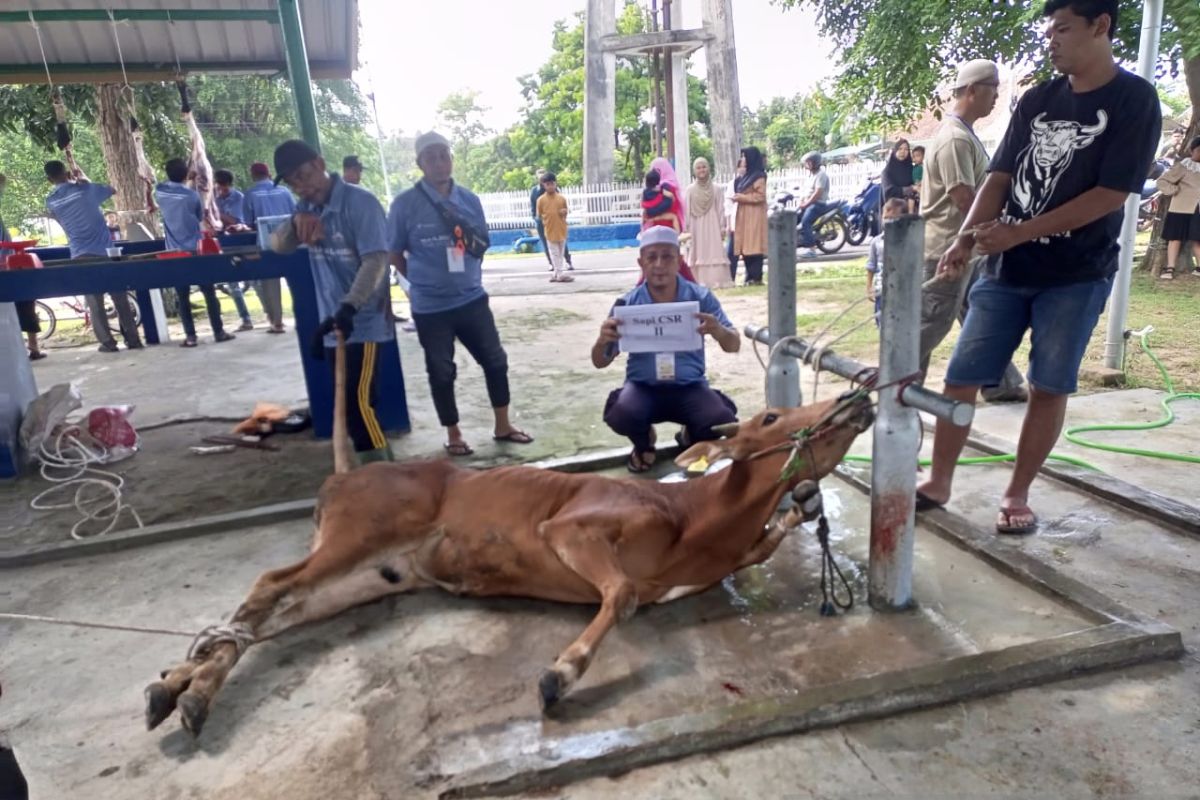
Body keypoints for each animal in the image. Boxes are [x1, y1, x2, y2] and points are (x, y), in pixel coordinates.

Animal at [145, 335, 878, 734]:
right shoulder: (572, 527)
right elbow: (621, 595)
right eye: (770, 415)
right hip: (356, 537)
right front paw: (559, 675)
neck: (695, 522)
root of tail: (347, 474)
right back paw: (185, 688)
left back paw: (182, 688)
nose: (857, 394)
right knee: (270, 584)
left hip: (369, 576)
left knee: (271, 616)